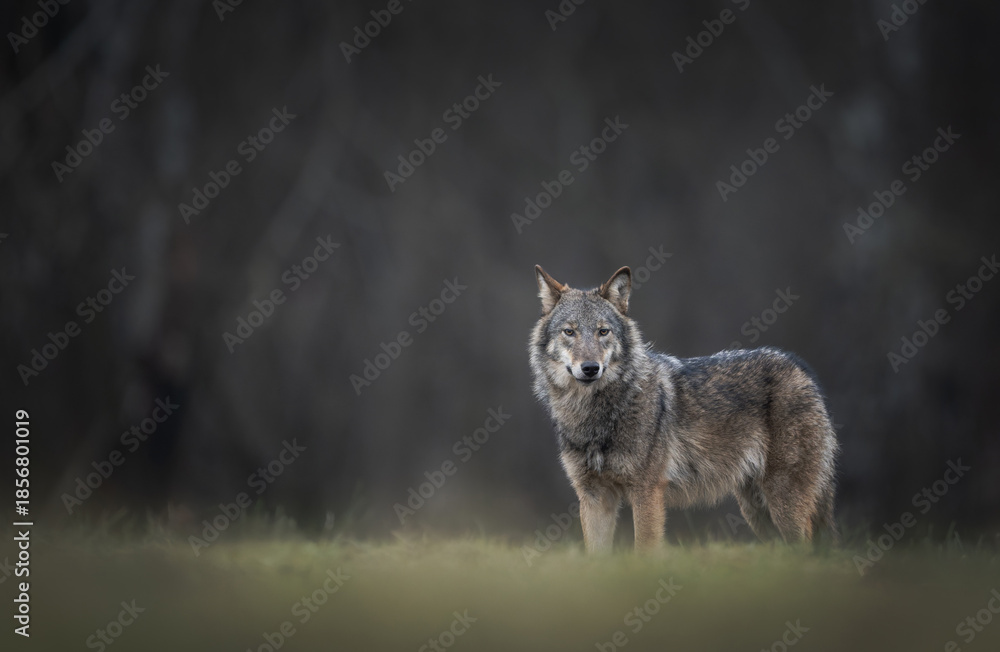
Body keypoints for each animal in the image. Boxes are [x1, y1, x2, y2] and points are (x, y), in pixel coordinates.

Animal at [529, 265, 838, 552]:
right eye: (569, 332)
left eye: (603, 331)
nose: (591, 368)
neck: (594, 412)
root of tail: (800, 368)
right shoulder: (594, 497)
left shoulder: (647, 492)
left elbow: (644, 551)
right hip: (757, 510)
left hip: (782, 502)